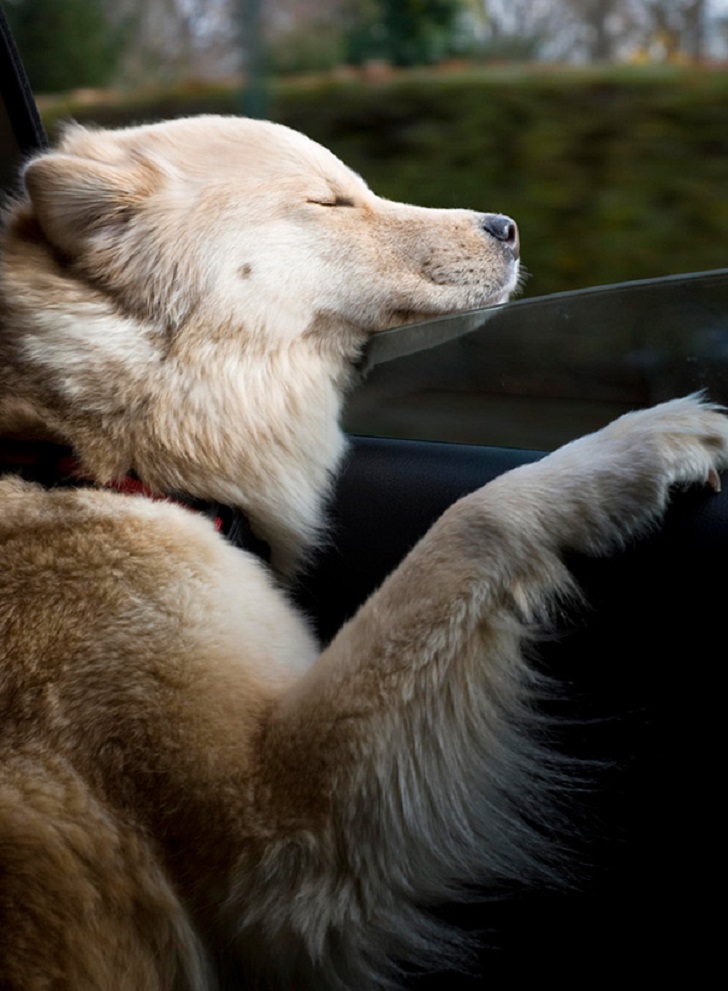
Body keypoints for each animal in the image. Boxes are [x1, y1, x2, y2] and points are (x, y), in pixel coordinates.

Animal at [0, 112, 724, 988]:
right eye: (328, 202)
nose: (508, 228)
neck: (85, 455)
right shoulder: (275, 832)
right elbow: (474, 517)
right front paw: (629, 450)